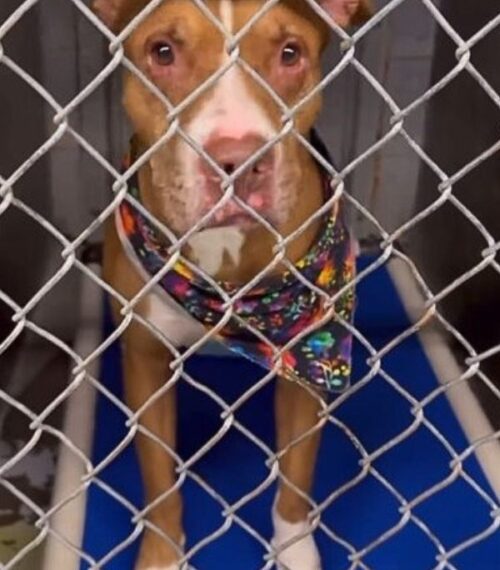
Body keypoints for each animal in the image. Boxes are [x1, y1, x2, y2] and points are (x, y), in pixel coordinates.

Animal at [95, 0, 372, 568]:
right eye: (163, 51)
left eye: (290, 52)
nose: (237, 160)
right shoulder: (145, 358)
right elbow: (159, 481)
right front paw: (162, 555)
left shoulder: (307, 361)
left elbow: (296, 478)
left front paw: (295, 549)